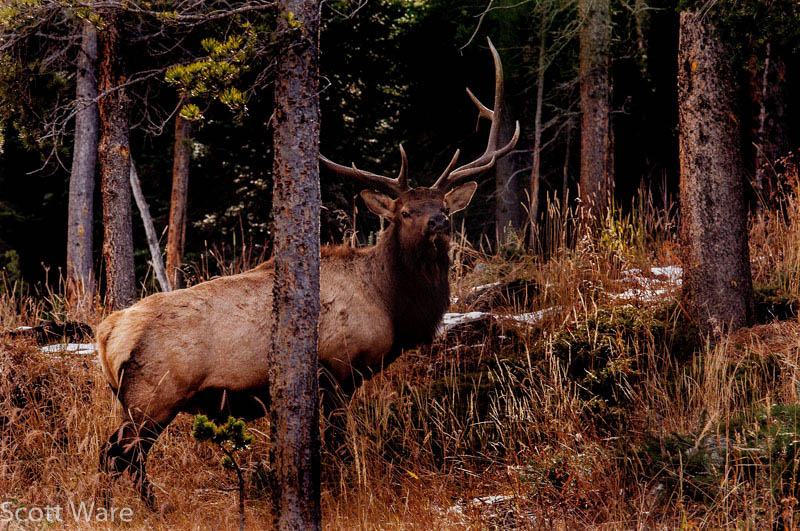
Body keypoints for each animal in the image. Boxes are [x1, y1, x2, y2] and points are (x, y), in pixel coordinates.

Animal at [96, 38, 519, 507]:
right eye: (405, 212)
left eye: (444, 206)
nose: (439, 223)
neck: (391, 305)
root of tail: (106, 334)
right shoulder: (337, 368)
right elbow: (336, 443)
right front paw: (339, 491)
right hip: (154, 394)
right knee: (119, 454)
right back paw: (142, 508)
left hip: (137, 399)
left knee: (115, 452)